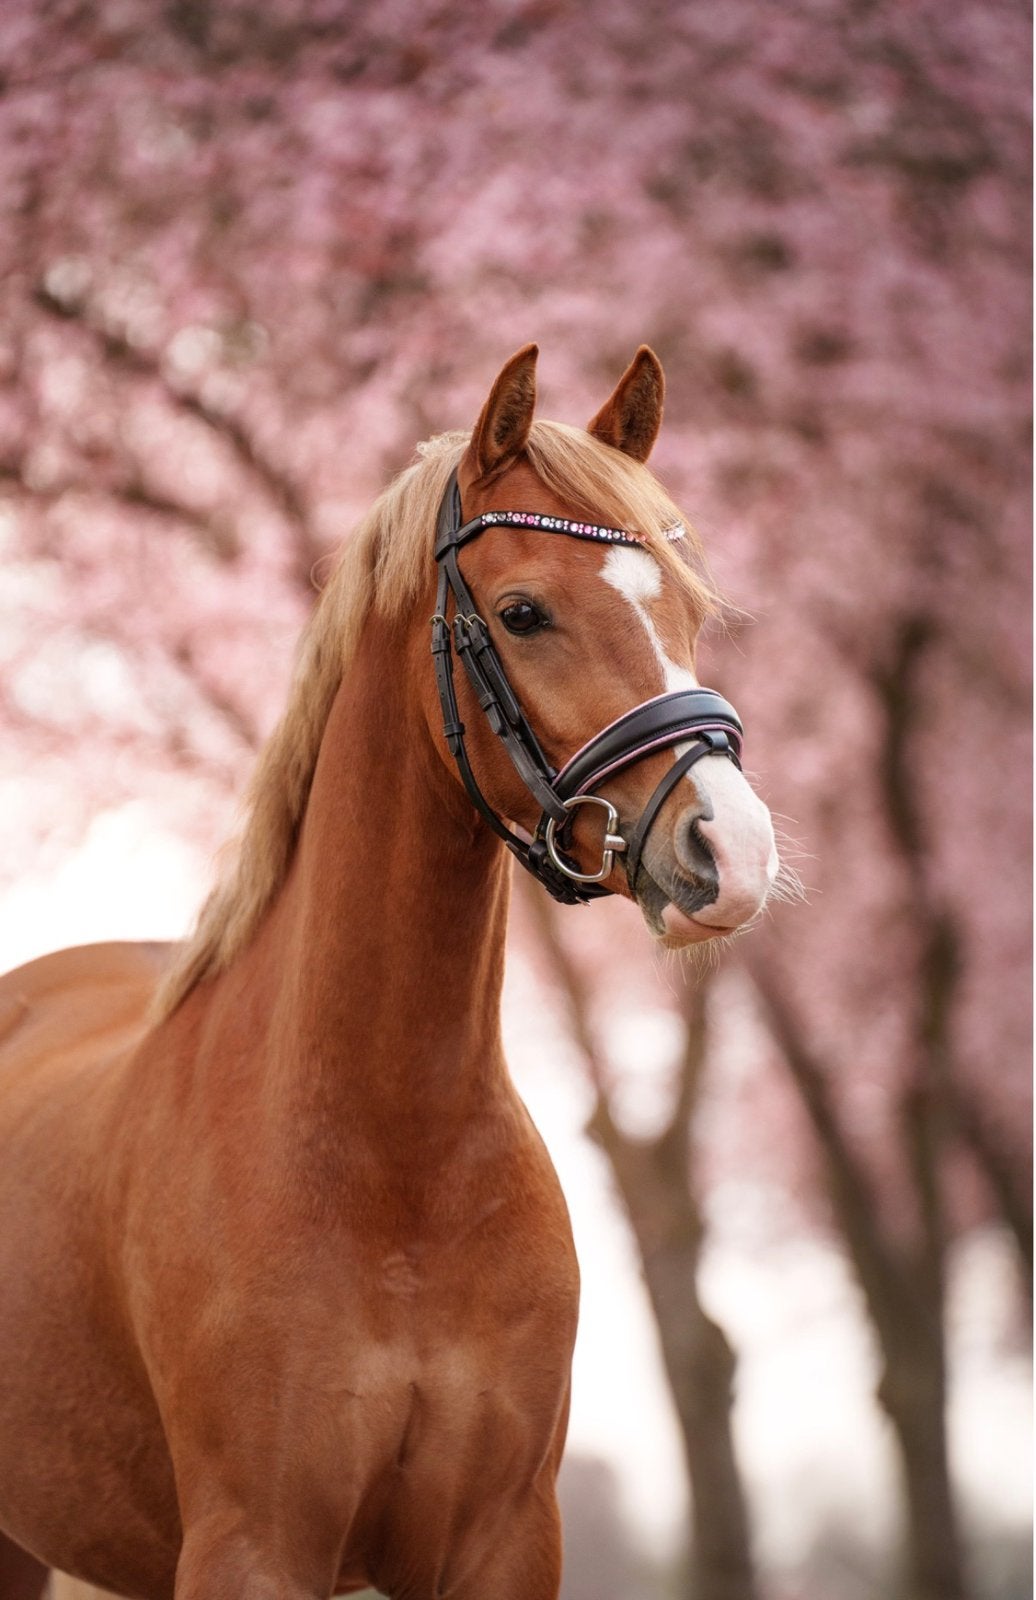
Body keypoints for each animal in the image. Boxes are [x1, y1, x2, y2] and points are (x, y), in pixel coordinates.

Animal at [0, 344, 778, 1600]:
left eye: (689, 609)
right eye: (522, 612)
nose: (735, 851)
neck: (397, 1159)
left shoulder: (505, 1542)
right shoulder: (253, 1546)